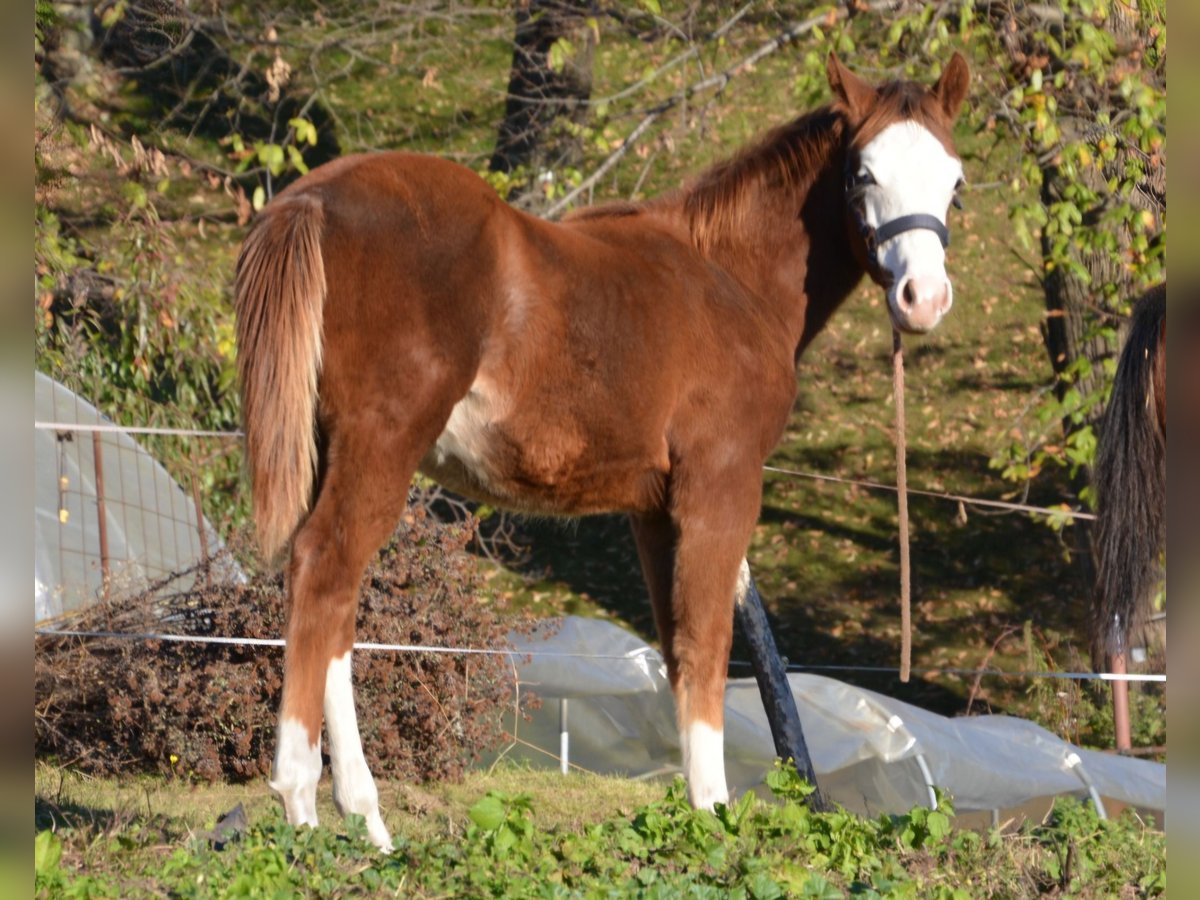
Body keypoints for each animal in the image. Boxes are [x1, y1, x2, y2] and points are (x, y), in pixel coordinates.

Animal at [236, 52, 974, 849]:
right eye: (863, 173)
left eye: (955, 181)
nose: (924, 299)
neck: (727, 277)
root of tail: (314, 199)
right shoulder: (721, 485)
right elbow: (708, 644)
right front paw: (713, 818)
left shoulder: (652, 510)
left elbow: (677, 647)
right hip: (382, 445)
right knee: (323, 572)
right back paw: (303, 804)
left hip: (333, 452)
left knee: (332, 607)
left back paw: (364, 820)